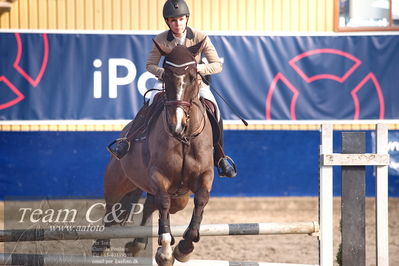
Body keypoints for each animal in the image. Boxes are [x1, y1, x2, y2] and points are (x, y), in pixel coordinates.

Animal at [92, 39, 216, 266]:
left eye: (192, 77)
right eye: (166, 77)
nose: (177, 125)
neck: (184, 139)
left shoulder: (204, 175)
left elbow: (201, 199)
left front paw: (184, 248)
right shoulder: (159, 176)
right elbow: (163, 203)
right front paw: (166, 251)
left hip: (178, 196)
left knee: (151, 205)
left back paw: (137, 243)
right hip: (117, 180)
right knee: (111, 210)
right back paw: (101, 245)